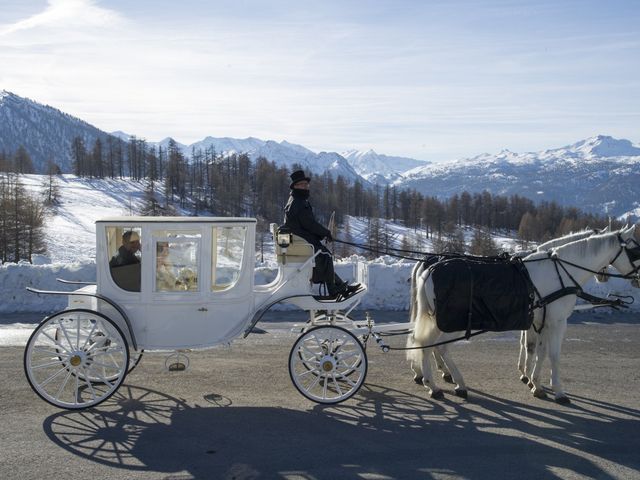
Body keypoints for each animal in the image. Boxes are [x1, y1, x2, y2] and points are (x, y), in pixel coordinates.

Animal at [410, 225, 640, 402]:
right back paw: (441, 384)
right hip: (451, 322)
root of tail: (429, 270)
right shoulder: (557, 322)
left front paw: (534, 382)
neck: (560, 272)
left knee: (424, 343)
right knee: (435, 346)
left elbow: (537, 350)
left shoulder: (540, 321)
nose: (638, 278)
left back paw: (436, 380)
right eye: (635, 249)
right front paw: (557, 390)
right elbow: (552, 354)